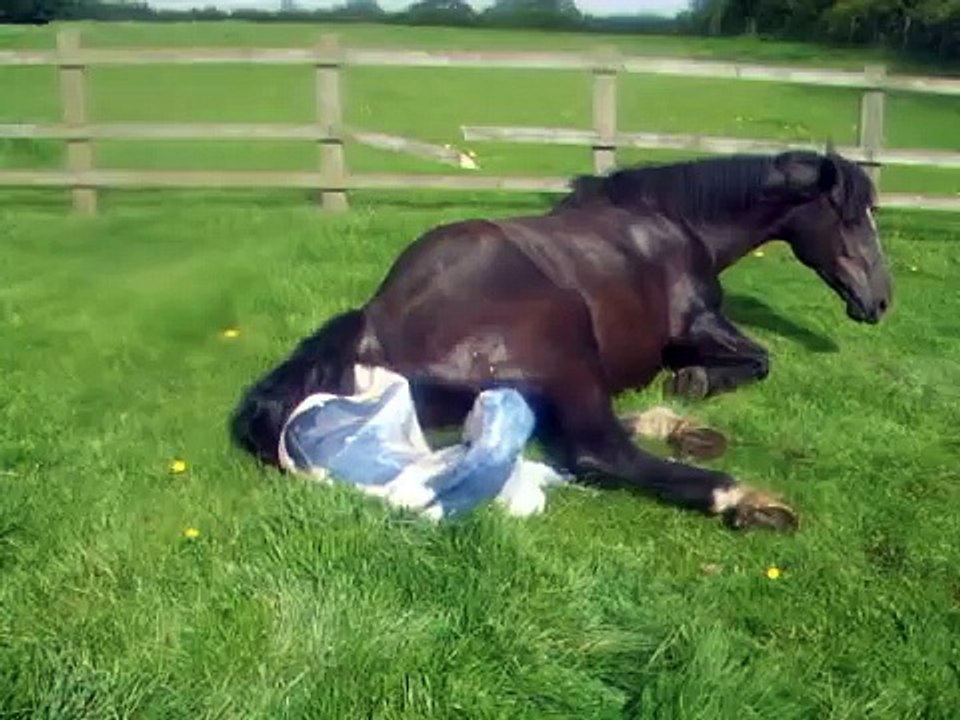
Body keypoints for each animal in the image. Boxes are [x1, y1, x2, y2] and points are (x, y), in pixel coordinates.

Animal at [229, 149, 892, 532]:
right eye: (854, 216)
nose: (880, 301)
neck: (667, 221)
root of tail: (375, 318)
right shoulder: (699, 323)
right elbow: (759, 358)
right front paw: (696, 383)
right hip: (565, 348)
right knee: (599, 451)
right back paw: (743, 498)